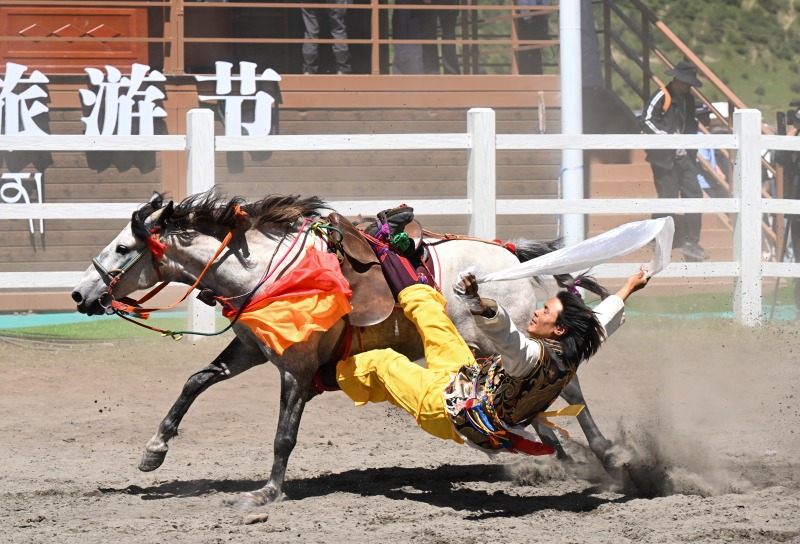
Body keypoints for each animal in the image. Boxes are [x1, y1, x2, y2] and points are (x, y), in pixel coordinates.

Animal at [71, 190, 613, 508]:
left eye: (123, 249)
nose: (79, 294)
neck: (270, 273)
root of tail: (510, 254)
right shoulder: (251, 350)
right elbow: (195, 382)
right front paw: (153, 451)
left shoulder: (296, 369)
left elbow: (283, 435)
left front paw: (267, 493)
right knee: (547, 400)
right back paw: (573, 453)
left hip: (502, 336)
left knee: (564, 385)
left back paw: (599, 450)